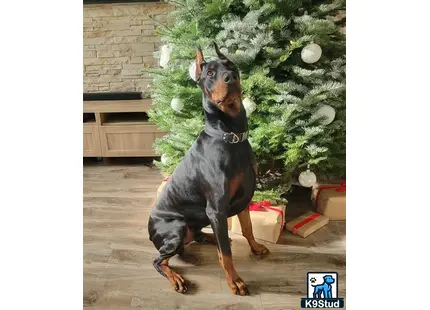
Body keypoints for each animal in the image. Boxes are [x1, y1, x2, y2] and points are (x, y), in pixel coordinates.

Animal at [148, 41, 268, 296]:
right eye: (210, 73)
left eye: (231, 65)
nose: (231, 77)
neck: (231, 137)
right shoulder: (216, 208)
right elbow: (227, 255)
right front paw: (235, 282)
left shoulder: (244, 197)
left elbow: (248, 228)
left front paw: (255, 247)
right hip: (176, 229)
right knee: (159, 260)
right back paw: (177, 278)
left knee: (199, 238)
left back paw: (210, 238)